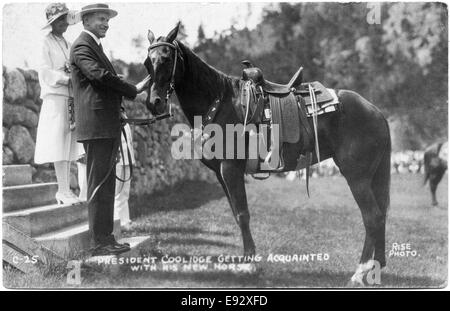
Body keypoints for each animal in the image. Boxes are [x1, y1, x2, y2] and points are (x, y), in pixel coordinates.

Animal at [143, 25, 390, 288]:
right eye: (148, 62)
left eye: (167, 59)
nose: (154, 102)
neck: (219, 102)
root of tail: (375, 111)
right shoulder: (221, 174)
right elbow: (236, 212)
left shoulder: (230, 169)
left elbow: (242, 214)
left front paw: (249, 263)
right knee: (381, 216)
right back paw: (375, 267)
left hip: (357, 178)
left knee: (373, 217)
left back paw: (359, 272)